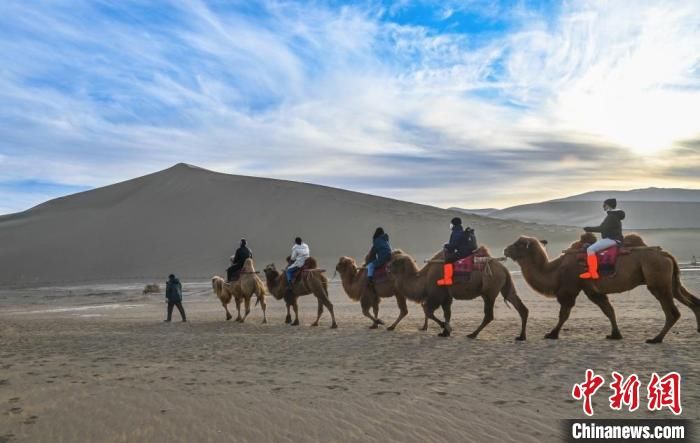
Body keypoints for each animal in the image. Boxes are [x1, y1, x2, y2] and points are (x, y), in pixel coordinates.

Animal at [388, 250, 532, 340]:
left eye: (395, 262)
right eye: (392, 259)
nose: (387, 267)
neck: (424, 278)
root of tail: (504, 269)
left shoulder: (437, 294)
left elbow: (428, 311)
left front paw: (446, 328)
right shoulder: (446, 297)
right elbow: (447, 313)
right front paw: (445, 332)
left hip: (489, 291)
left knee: (489, 314)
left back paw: (472, 334)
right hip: (504, 287)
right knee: (521, 307)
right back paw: (521, 337)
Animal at [504, 234, 700, 346]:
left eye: (519, 244)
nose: (505, 249)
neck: (555, 269)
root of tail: (667, 255)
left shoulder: (570, 289)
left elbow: (564, 314)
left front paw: (552, 334)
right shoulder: (592, 290)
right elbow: (608, 310)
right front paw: (615, 334)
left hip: (657, 280)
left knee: (672, 311)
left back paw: (656, 339)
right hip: (671, 281)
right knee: (691, 300)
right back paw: (696, 330)